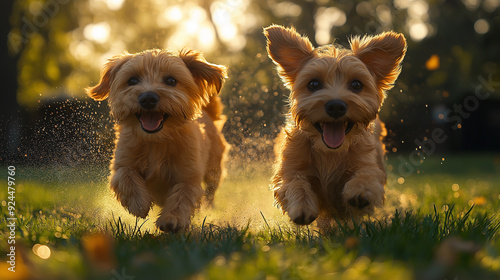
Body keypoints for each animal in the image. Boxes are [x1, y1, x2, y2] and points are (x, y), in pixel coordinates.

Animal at [86, 49, 227, 233]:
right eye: (132, 80)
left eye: (171, 81)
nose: (148, 98)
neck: (156, 142)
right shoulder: (122, 162)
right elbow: (126, 175)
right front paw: (139, 203)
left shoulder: (189, 174)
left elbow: (183, 196)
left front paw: (172, 219)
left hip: (213, 169)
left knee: (211, 191)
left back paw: (209, 208)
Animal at [266, 25, 406, 229]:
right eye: (313, 83)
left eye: (356, 84)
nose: (336, 106)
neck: (329, 153)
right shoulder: (290, 169)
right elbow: (296, 184)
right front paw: (301, 207)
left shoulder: (368, 163)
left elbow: (367, 174)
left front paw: (361, 190)